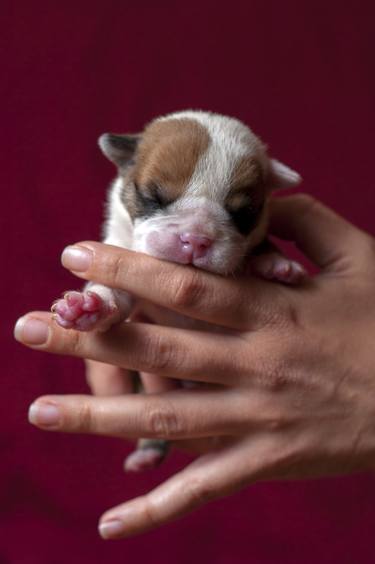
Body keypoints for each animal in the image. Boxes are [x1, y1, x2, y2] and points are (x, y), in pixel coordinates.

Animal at [51, 110, 304, 472]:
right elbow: (115, 293)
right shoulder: (124, 253)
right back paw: (146, 452)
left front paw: (276, 264)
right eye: (154, 197)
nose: (195, 239)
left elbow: (263, 243)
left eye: (243, 213)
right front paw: (88, 307)